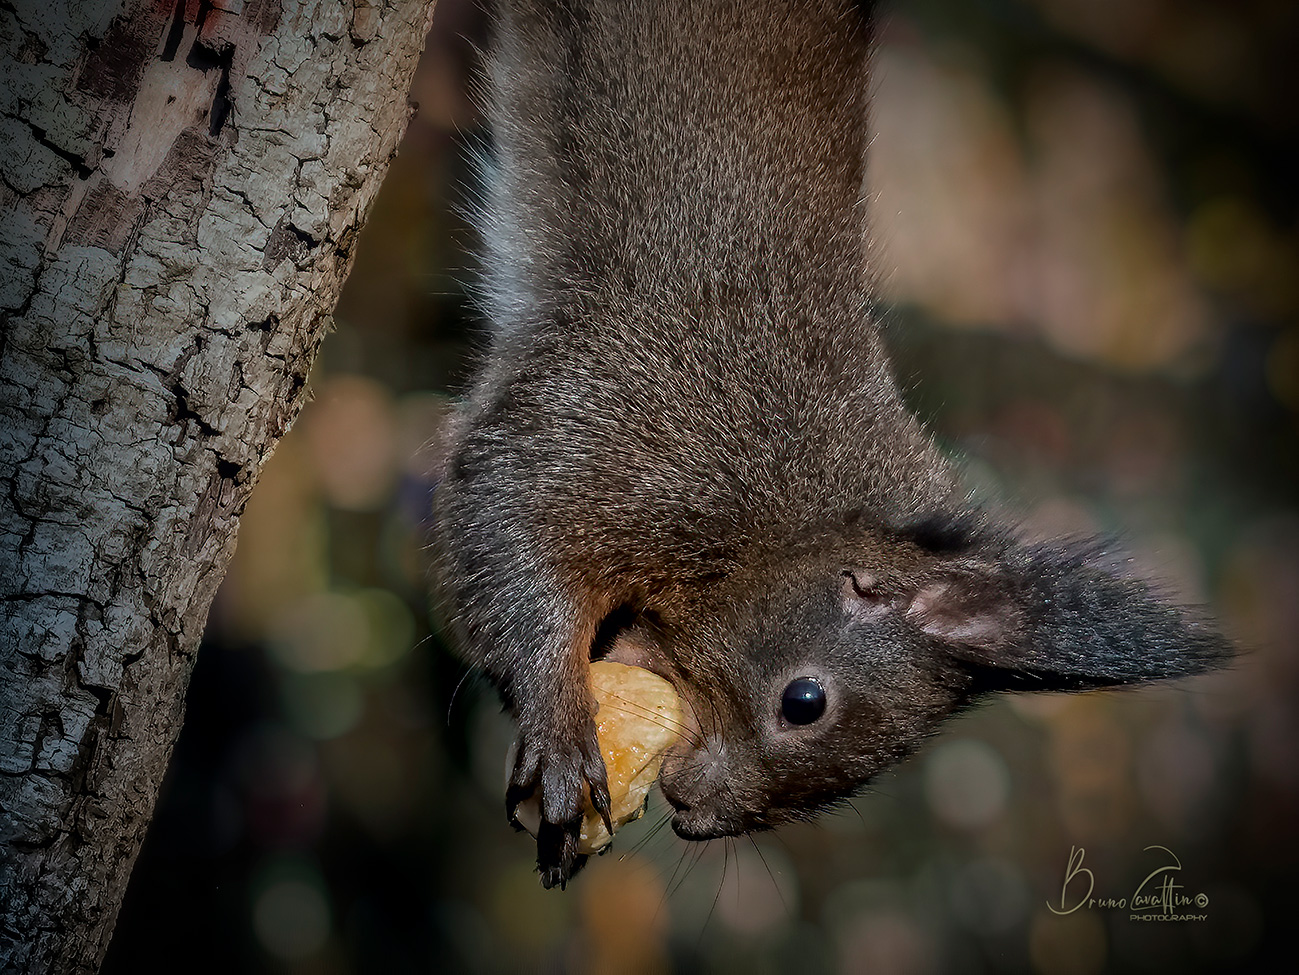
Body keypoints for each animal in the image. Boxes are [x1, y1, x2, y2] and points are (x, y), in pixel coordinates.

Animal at [429, 0, 1231, 889]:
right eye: (803, 702)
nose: (697, 813)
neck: (791, 509)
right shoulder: (626, 427)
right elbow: (506, 524)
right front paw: (560, 733)